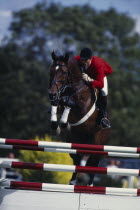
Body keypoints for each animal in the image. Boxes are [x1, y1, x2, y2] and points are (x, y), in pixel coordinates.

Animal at [48, 51, 110, 185]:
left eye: (64, 72)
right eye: (51, 71)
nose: (51, 94)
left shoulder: (83, 107)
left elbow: (69, 102)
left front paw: (64, 123)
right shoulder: (59, 100)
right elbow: (57, 104)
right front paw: (56, 126)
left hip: (96, 146)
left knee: (93, 164)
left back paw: (89, 185)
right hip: (74, 142)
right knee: (77, 160)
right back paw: (72, 181)